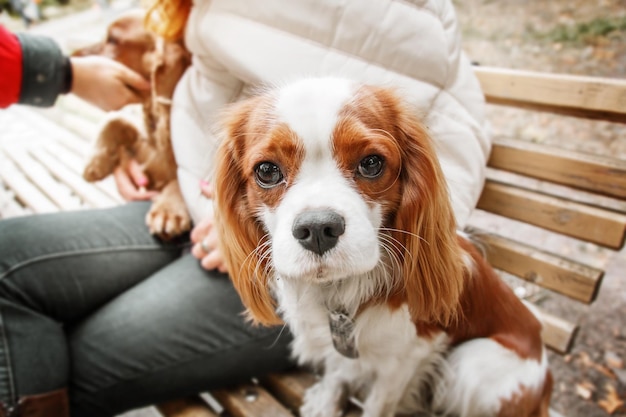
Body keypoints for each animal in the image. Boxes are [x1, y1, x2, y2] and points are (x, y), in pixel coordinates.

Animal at [77, 8, 190, 237]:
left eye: (112, 39)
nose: (71, 54)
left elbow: (181, 175)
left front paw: (168, 211)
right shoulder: (147, 149)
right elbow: (114, 119)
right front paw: (95, 162)